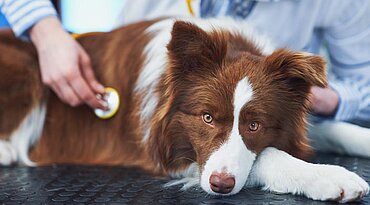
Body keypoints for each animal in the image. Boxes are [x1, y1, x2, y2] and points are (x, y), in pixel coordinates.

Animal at [0, 18, 368, 203]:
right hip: (26, 64)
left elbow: (337, 129)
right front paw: (328, 177)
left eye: (255, 126)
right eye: (207, 118)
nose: (220, 185)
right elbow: (267, 157)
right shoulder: (170, 150)